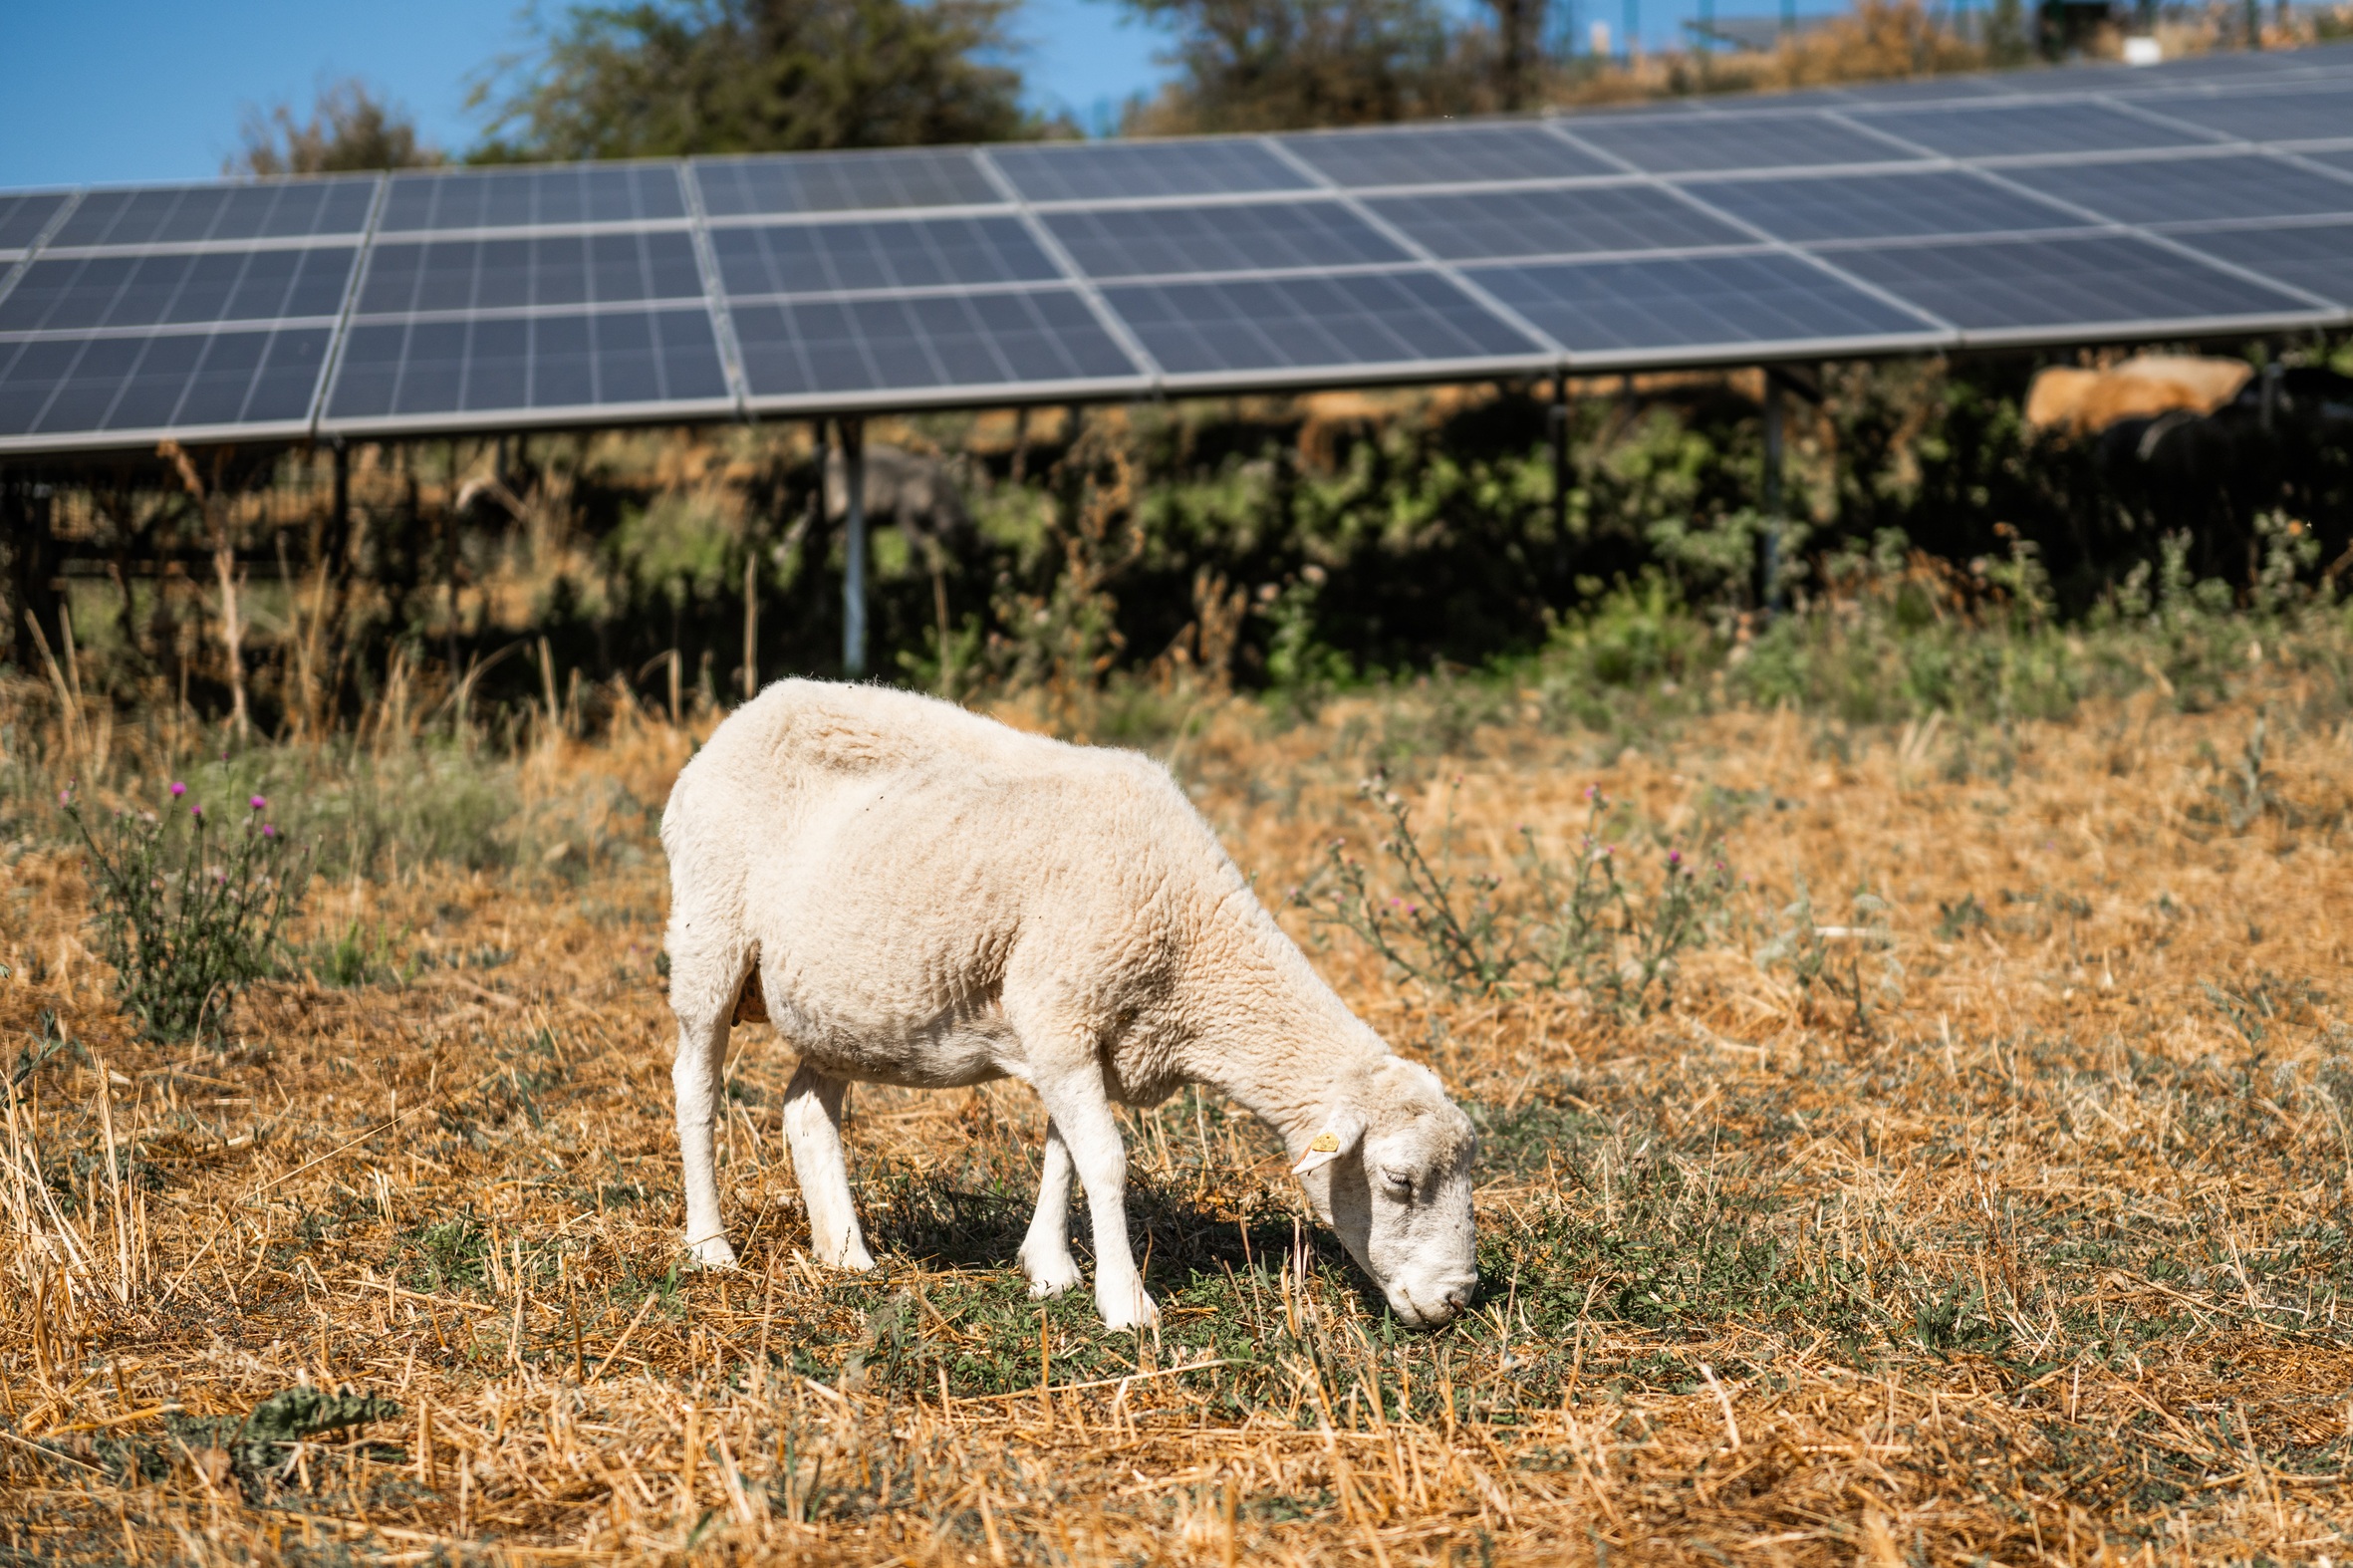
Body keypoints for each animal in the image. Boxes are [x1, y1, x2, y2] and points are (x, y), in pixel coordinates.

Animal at [660, 679, 1479, 1330]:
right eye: (1398, 1181)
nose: (1458, 1300)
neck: (1191, 943)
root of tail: (752, 711)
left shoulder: (1084, 1035)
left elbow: (1066, 1152)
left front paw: (1049, 1269)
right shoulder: (1061, 1007)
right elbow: (1108, 1162)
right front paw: (1127, 1305)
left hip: (838, 1004)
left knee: (807, 1107)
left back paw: (846, 1255)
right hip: (709, 937)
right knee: (696, 1089)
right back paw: (711, 1248)